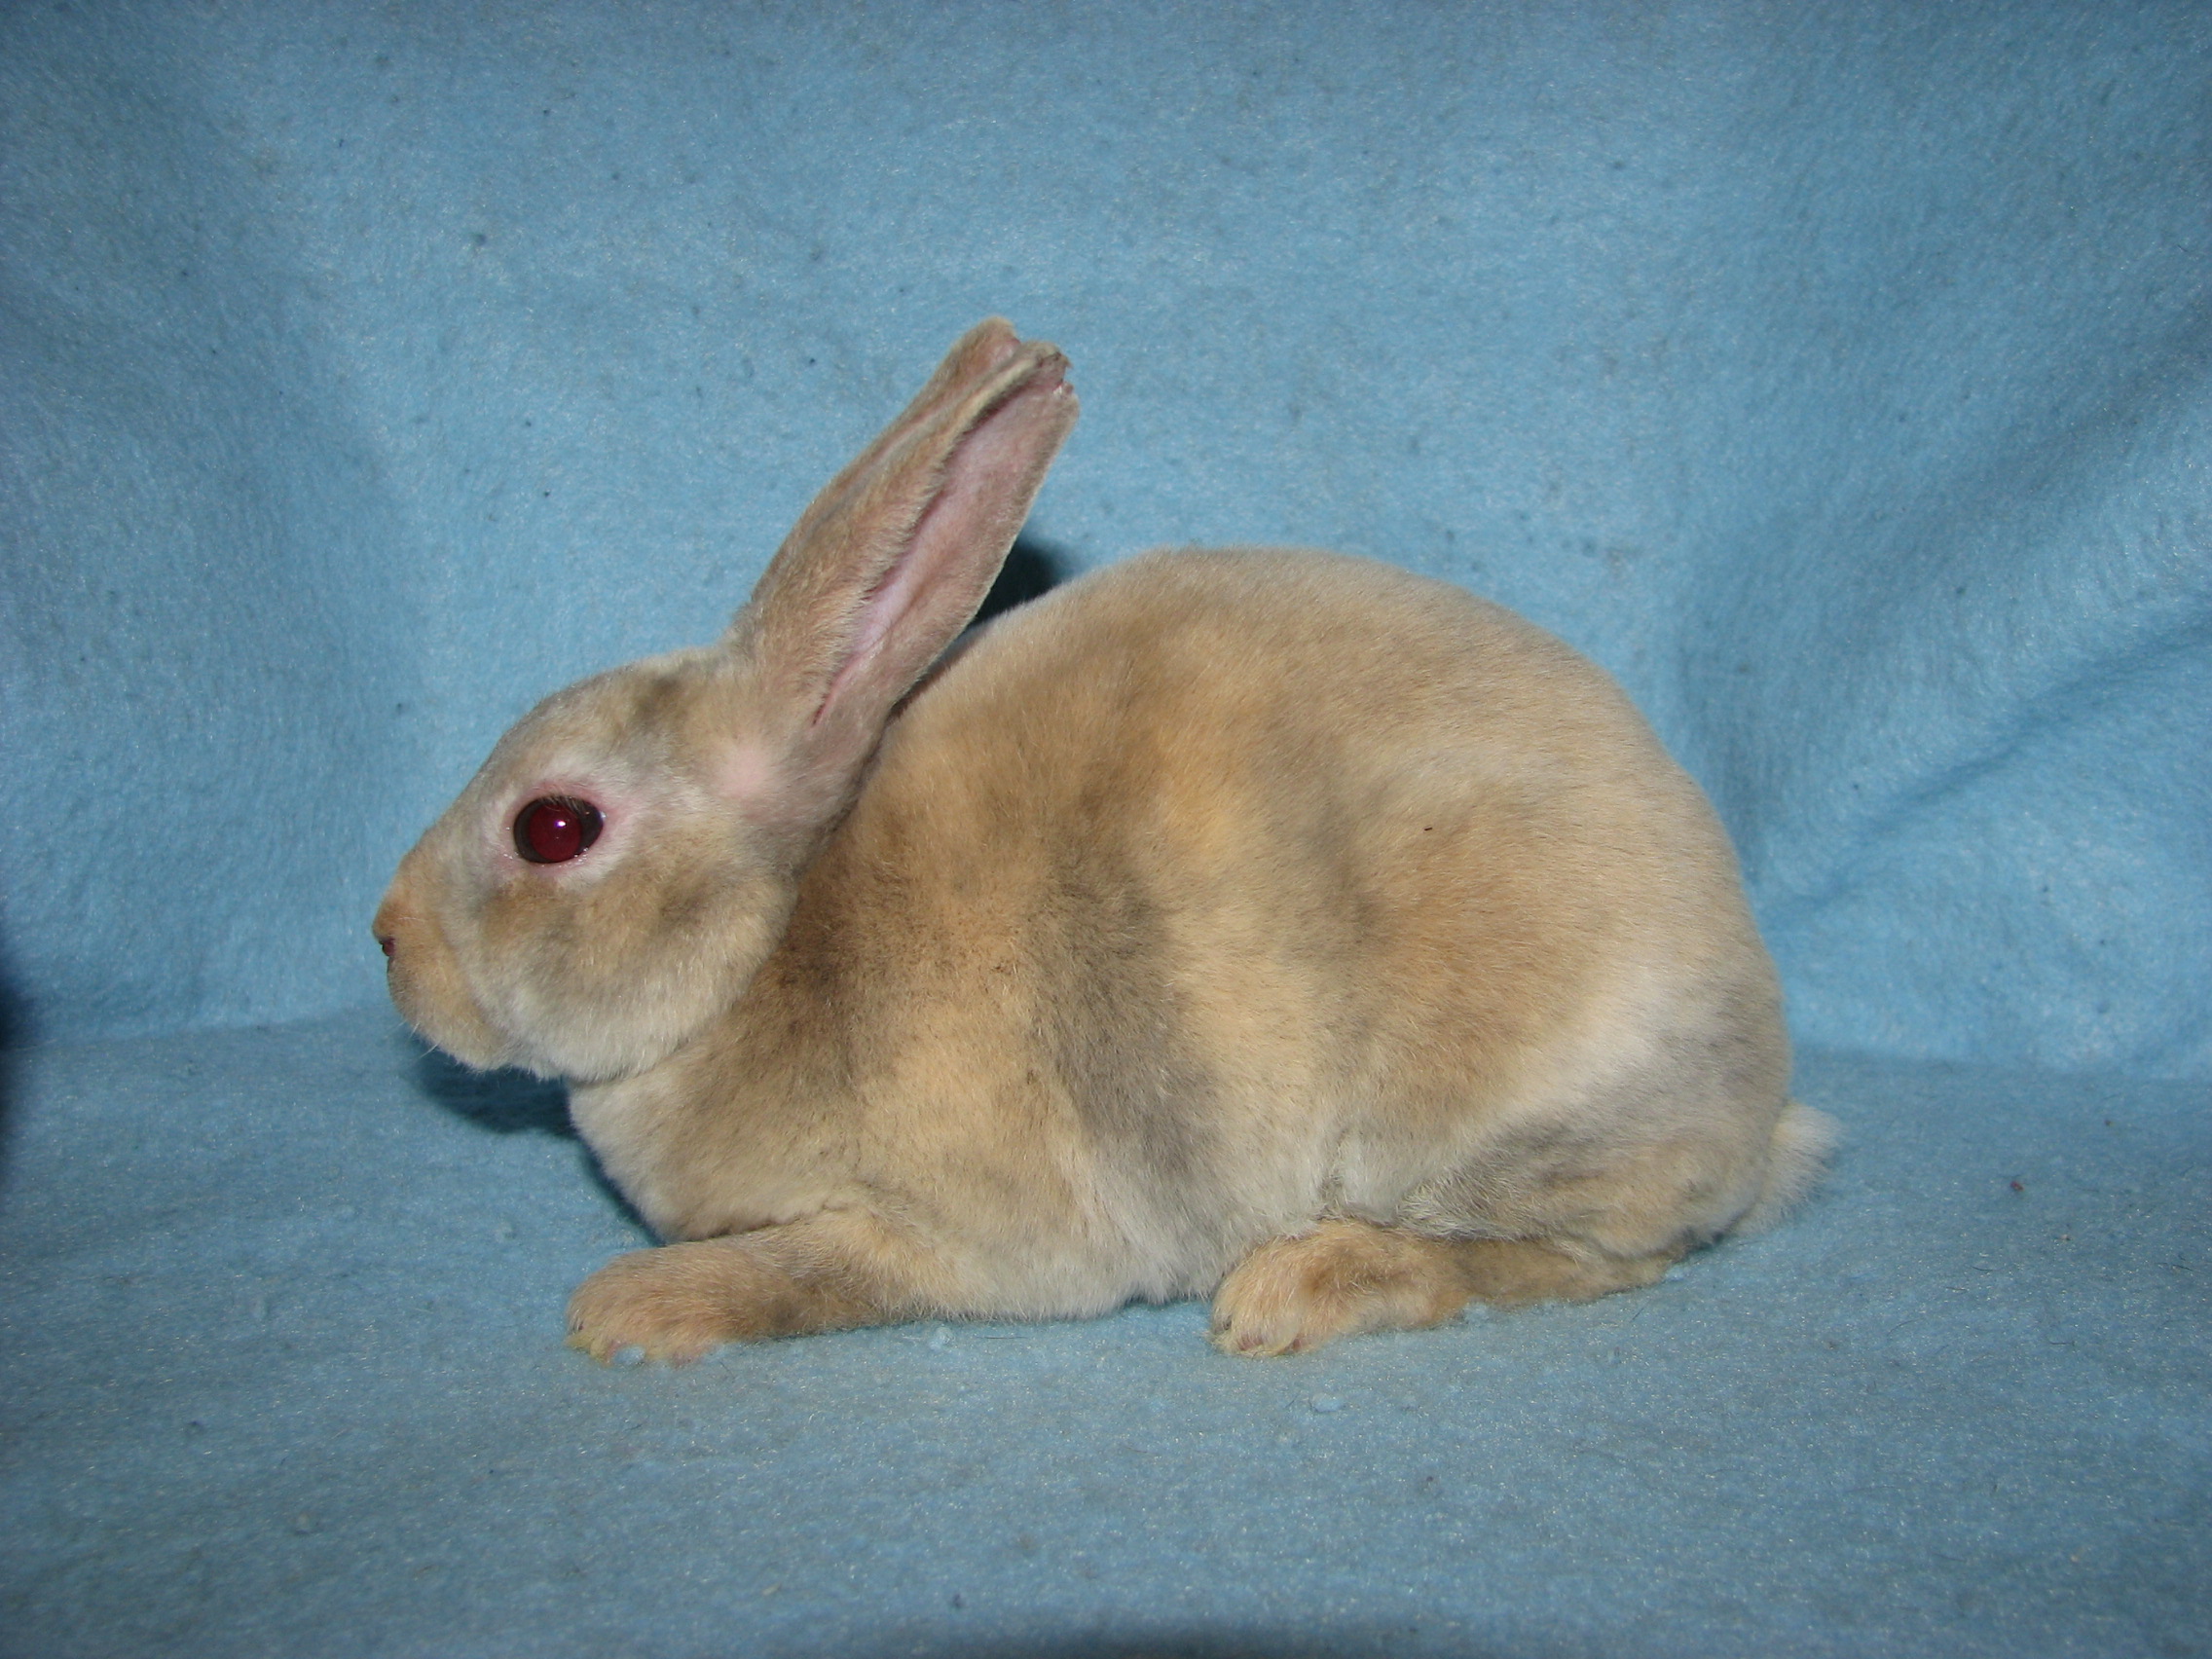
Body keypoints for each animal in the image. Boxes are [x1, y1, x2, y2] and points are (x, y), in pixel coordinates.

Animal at [374, 318, 1832, 1364]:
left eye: (553, 827)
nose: (389, 944)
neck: (768, 943)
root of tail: (1758, 1108)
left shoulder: (943, 1238)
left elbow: (800, 1275)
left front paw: (631, 1308)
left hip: (1496, 1119)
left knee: (1585, 1256)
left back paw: (1299, 1289)